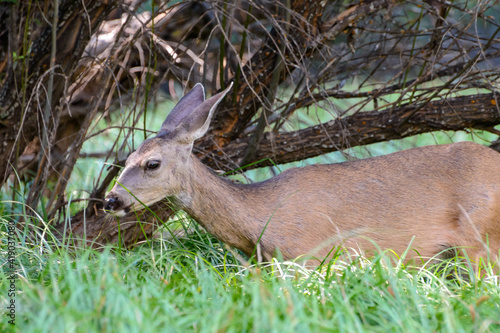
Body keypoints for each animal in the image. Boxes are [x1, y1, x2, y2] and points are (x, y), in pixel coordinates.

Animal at [104, 83, 500, 268]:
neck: (260, 221)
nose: (111, 199)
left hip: (480, 235)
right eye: (126, 157)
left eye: (152, 163)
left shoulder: (309, 254)